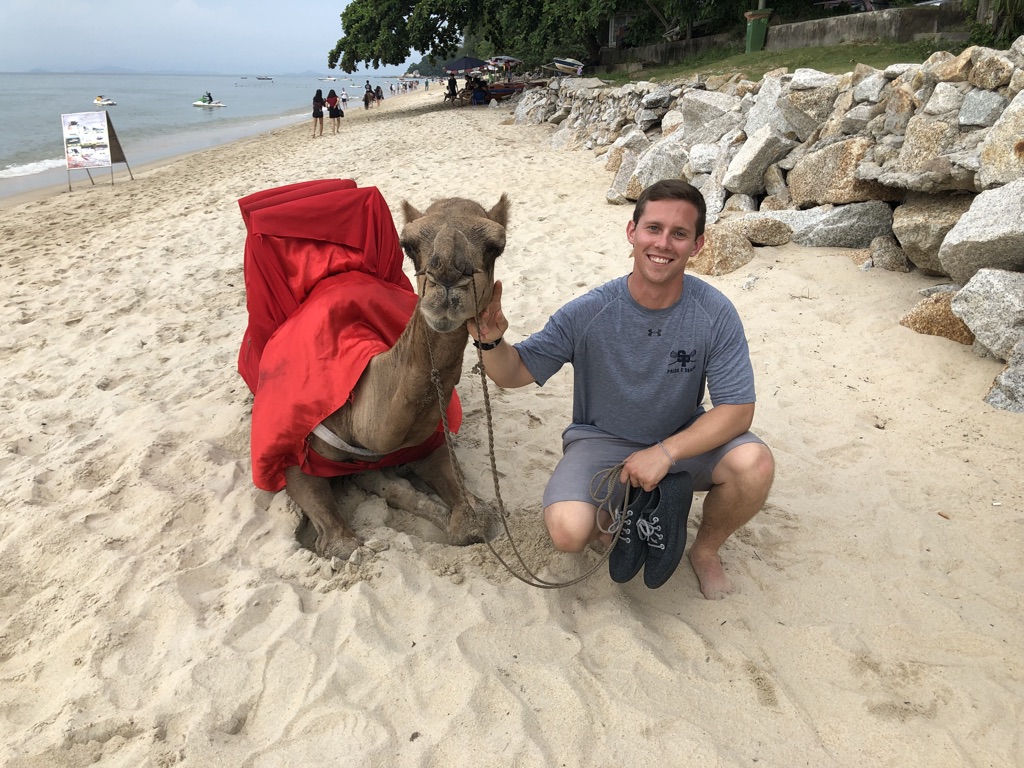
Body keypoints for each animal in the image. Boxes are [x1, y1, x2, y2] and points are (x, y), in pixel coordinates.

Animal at [282, 195, 509, 561]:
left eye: (495, 247)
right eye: (409, 245)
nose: (447, 277)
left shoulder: (430, 444)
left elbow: (472, 519)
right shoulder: (295, 459)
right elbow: (342, 543)